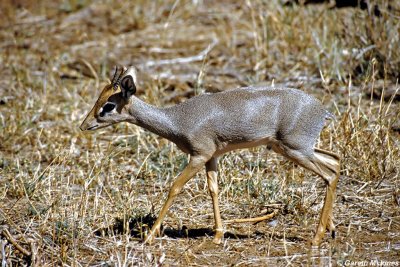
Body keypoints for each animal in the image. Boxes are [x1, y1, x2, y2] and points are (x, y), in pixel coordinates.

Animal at [80, 65, 340, 247]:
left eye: (108, 105)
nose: (84, 125)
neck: (178, 119)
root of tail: (322, 110)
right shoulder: (212, 157)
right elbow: (213, 189)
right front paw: (217, 235)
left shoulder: (198, 156)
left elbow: (175, 187)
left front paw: (149, 236)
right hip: (295, 149)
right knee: (335, 162)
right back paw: (331, 229)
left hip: (295, 150)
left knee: (329, 175)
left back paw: (316, 238)